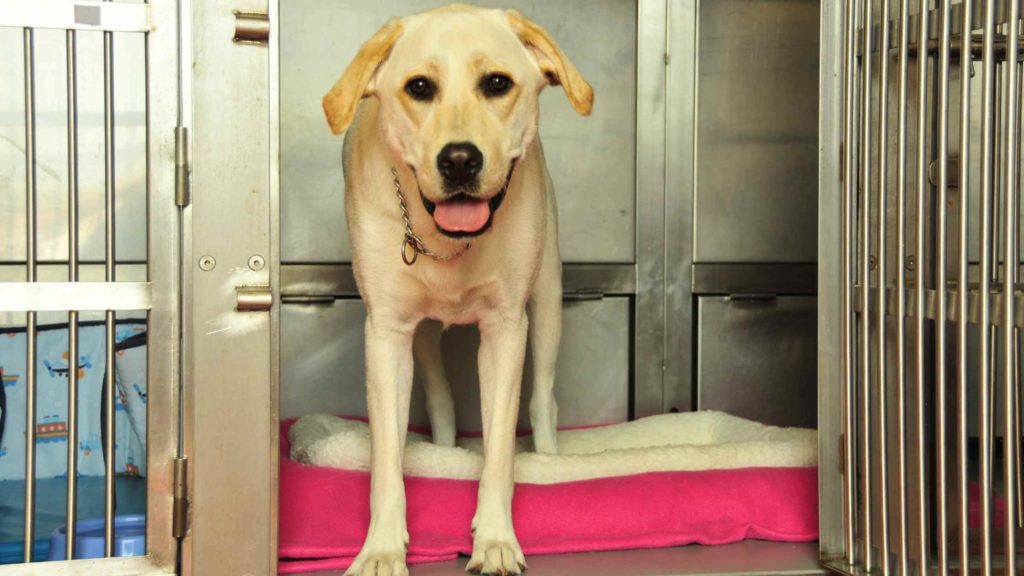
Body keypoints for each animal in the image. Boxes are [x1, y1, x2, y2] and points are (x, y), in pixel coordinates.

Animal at [319, 5, 593, 573]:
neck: (446, 241)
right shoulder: (387, 336)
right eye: (420, 87)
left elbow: (499, 453)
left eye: (497, 83)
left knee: (543, 401)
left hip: (548, 302)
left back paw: (551, 463)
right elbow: (387, 462)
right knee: (442, 401)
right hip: (422, 339)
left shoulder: (507, 329)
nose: (461, 160)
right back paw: (443, 454)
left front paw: (495, 539)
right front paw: (381, 548)